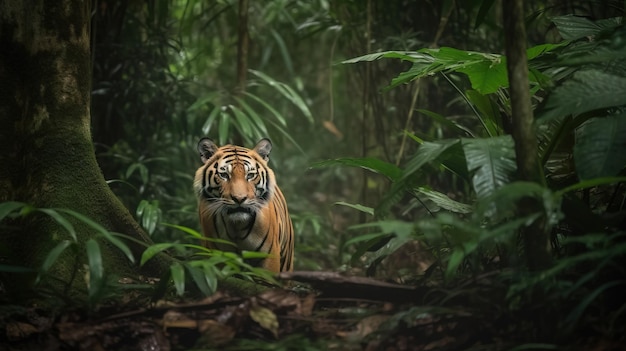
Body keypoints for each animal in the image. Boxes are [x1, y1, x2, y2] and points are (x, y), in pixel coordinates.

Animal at [193, 138, 292, 272]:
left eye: (250, 175)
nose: (239, 199)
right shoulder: (217, 256)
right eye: (224, 175)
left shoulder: (269, 257)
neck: (237, 227)